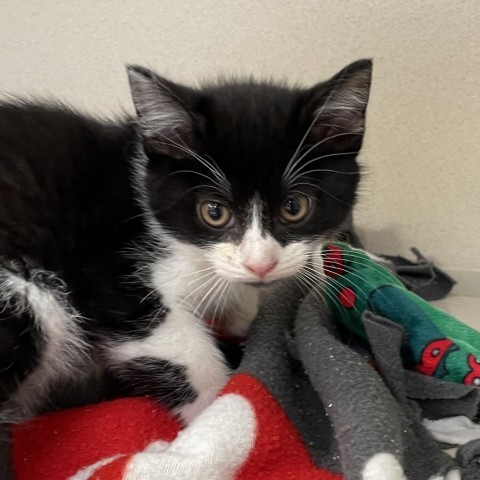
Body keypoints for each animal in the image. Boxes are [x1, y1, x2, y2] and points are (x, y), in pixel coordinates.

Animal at [0, 60, 372, 424]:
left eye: (294, 207)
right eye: (214, 212)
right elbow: (182, 347)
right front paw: (220, 413)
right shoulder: (108, 271)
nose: (260, 264)